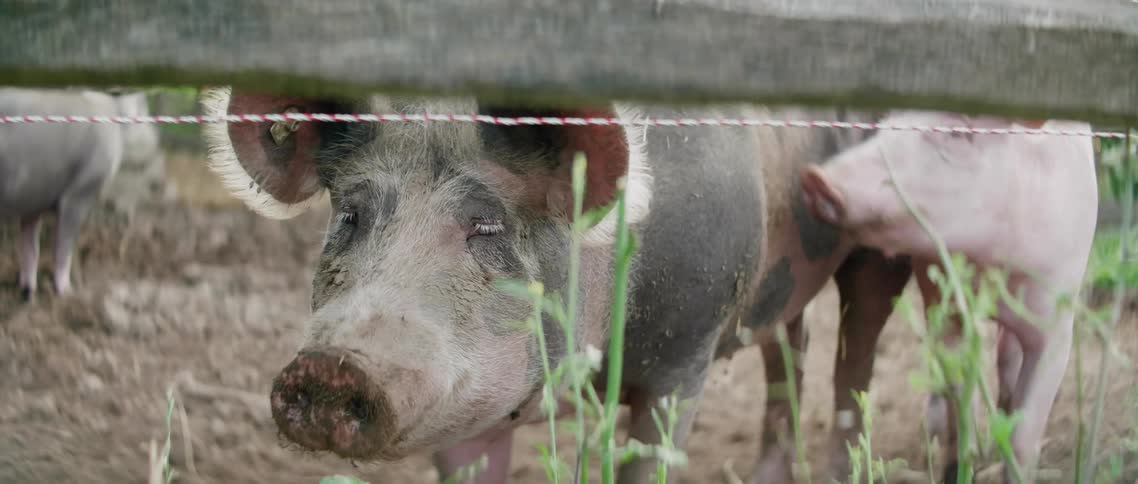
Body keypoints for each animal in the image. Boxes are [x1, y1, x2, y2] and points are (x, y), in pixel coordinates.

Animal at [0, 87, 142, 301]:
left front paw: (28, 292)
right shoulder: (80, 191)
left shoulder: (33, 200)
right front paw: (68, 293)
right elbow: (64, 243)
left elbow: (31, 244)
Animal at [199, 85, 926, 484]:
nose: (333, 365)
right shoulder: (468, 408)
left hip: (876, 241)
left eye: (487, 224)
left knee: (855, 355)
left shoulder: (686, 353)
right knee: (788, 348)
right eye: (351, 215)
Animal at [798, 110, 1099, 483]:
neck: (988, 260)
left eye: (956, 133)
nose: (815, 177)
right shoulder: (943, 301)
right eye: (885, 128)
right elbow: (960, 400)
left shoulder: (1057, 318)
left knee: (1006, 355)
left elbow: (1024, 435)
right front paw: (957, 466)